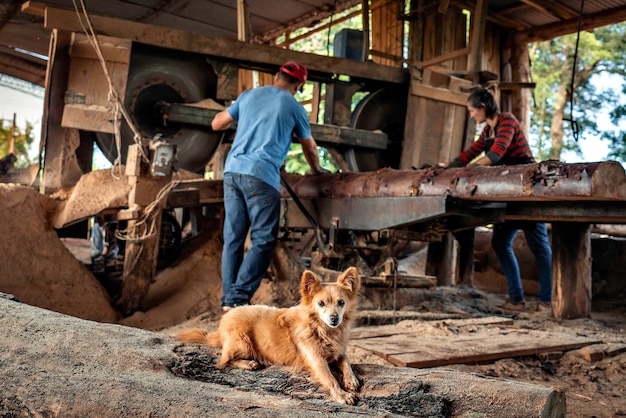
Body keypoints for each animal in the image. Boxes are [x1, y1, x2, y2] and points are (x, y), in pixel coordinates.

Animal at [176, 268, 360, 404]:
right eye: (321, 304)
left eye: (341, 303)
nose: (334, 319)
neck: (323, 329)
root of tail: (221, 325)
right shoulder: (317, 361)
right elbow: (330, 379)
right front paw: (342, 395)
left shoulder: (338, 351)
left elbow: (346, 362)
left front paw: (351, 380)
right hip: (243, 343)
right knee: (223, 360)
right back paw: (248, 363)